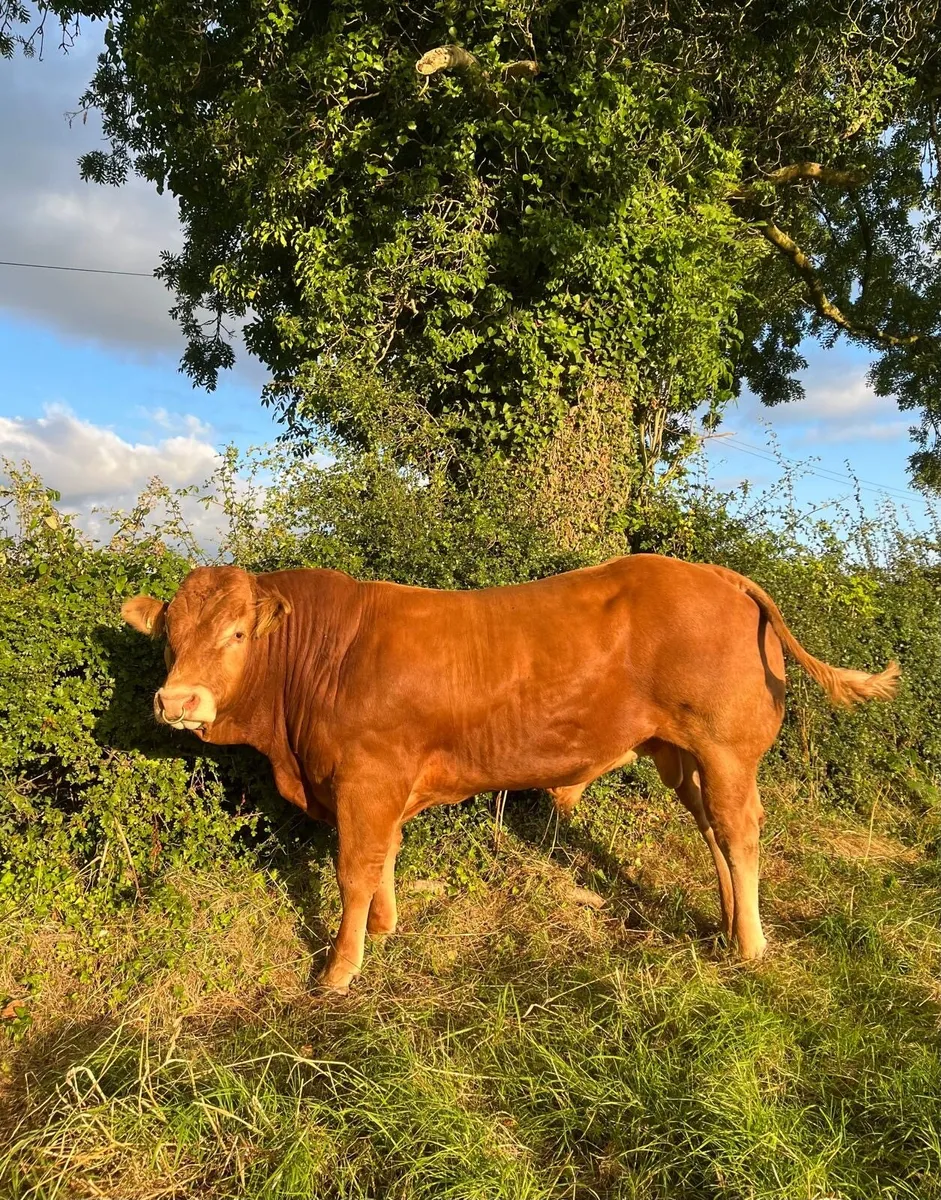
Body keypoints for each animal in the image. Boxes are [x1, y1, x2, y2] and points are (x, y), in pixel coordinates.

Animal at [121, 555, 899, 992]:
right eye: (168, 637)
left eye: (237, 634)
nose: (177, 702)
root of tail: (716, 574)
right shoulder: (383, 783)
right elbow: (384, 860)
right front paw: (385, 931)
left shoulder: (365, 778)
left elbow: (354, 869)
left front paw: (339, 969)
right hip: (679, 753)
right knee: (712, 832)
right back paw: (728, 923)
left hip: (726, 747)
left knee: (739, 833)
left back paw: (750, 945)